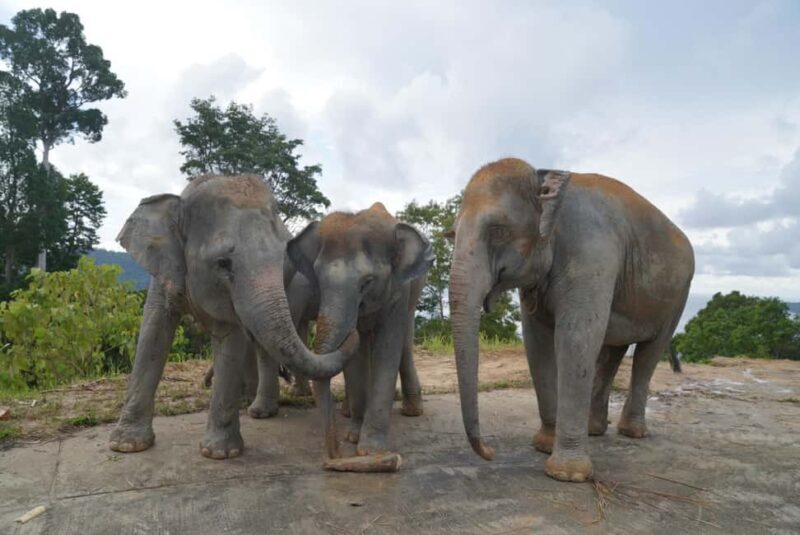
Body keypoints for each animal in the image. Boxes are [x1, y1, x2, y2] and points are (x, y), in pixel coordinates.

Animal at [108, 174, 358, 459]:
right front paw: (127, 446)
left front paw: (220, 453)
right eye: (223, 263)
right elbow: (153, 332)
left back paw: (263, 408)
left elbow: (230, 339)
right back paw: (260, 407)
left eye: (284, 262)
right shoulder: (164, 269)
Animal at [286, 202, 433, 468]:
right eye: (318, 280)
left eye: (367, 282)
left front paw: (371, 450)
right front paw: (353, 436)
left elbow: (388, 347)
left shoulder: (398, 290)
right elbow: (355, 356)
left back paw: (412, 411)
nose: (334, 457)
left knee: (404, 341)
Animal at [448, 158, 694, 482]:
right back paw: (594, 430)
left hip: (678, 297)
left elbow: (575, 339)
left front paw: (567, 475)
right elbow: (537, 344)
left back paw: (632, 432)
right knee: (612, 352)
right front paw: (543, 446)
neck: (544, 178)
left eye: (498, 231)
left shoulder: (592, 253)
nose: (490, 453)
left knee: (647, 354)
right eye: (451, 235)